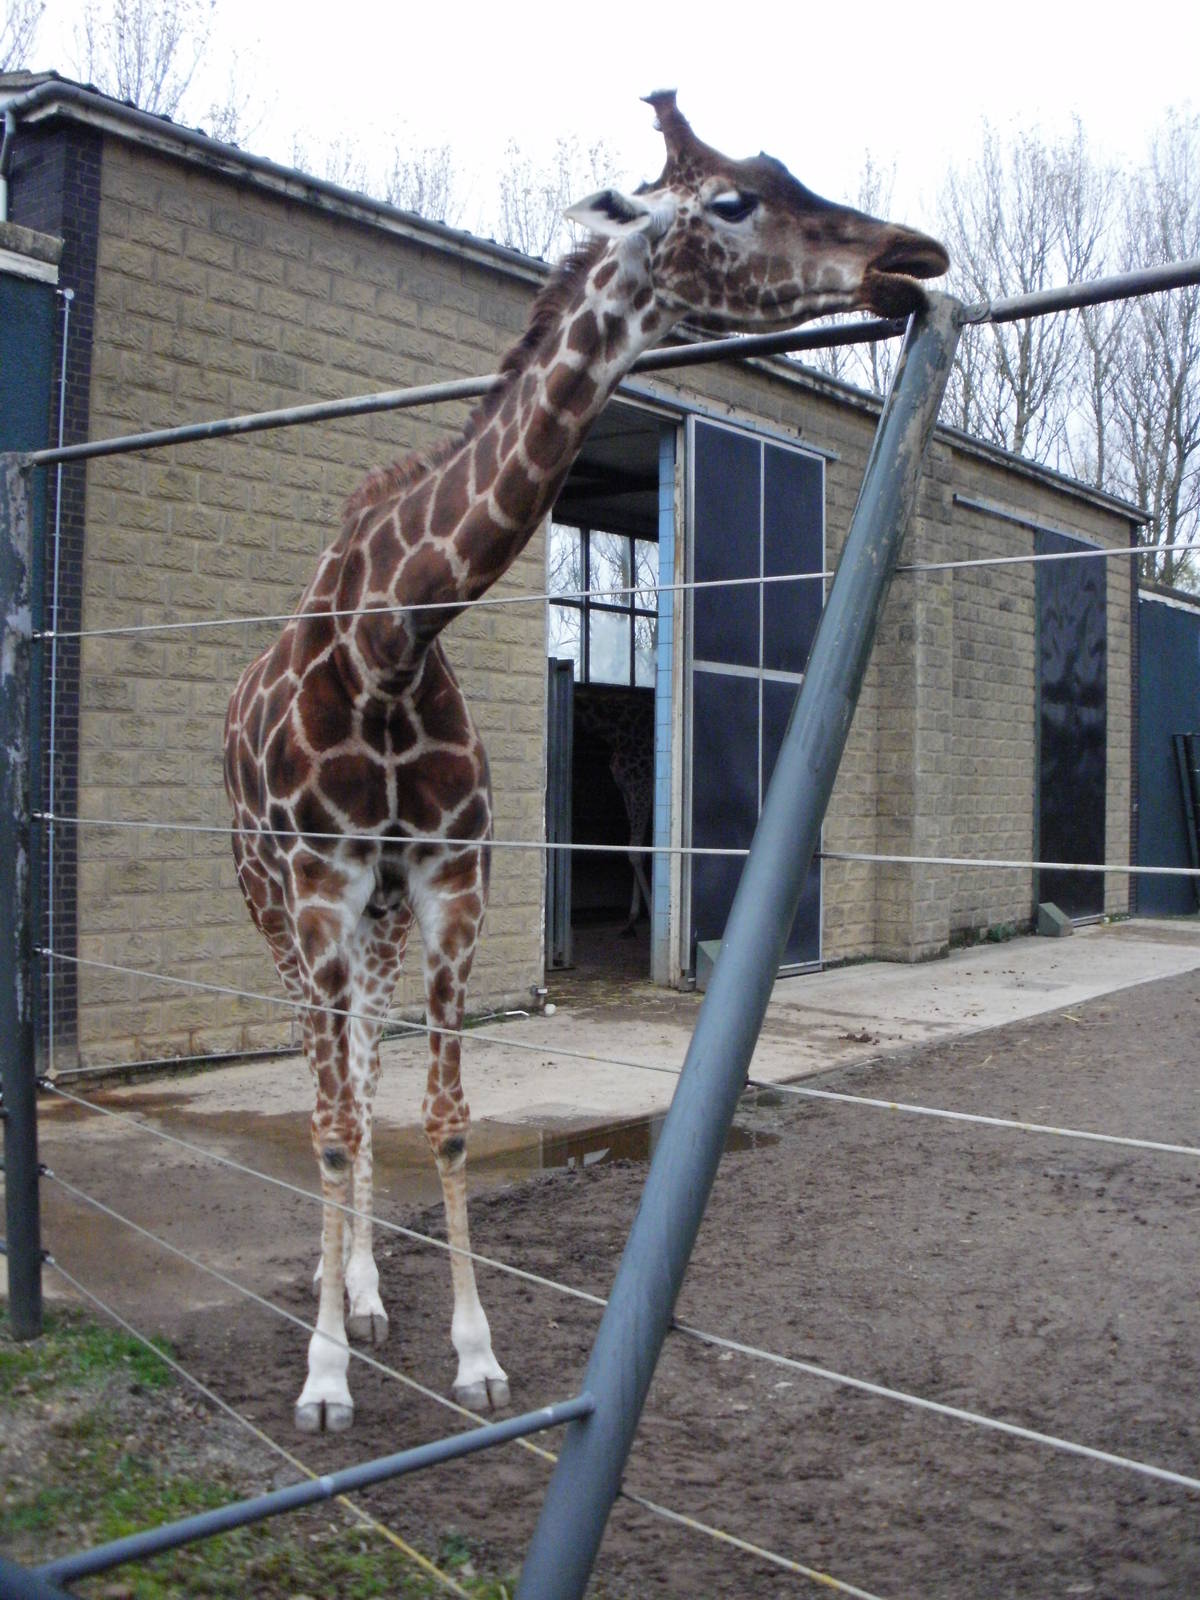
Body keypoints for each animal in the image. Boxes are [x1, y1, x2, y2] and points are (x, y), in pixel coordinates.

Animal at [224, 91, 948, 1433]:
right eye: (731, 200)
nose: (910, 252)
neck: (393, 637)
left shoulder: (449, 885)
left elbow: (445, 1119)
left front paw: (472, 1357)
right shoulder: (319, 890)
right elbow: (337, 1125)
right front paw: (323, 1382)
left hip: (379, 924)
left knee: (364, 1062)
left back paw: (365, 1294)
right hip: (276, 906)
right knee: (327, 1083)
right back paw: (335, 1306)